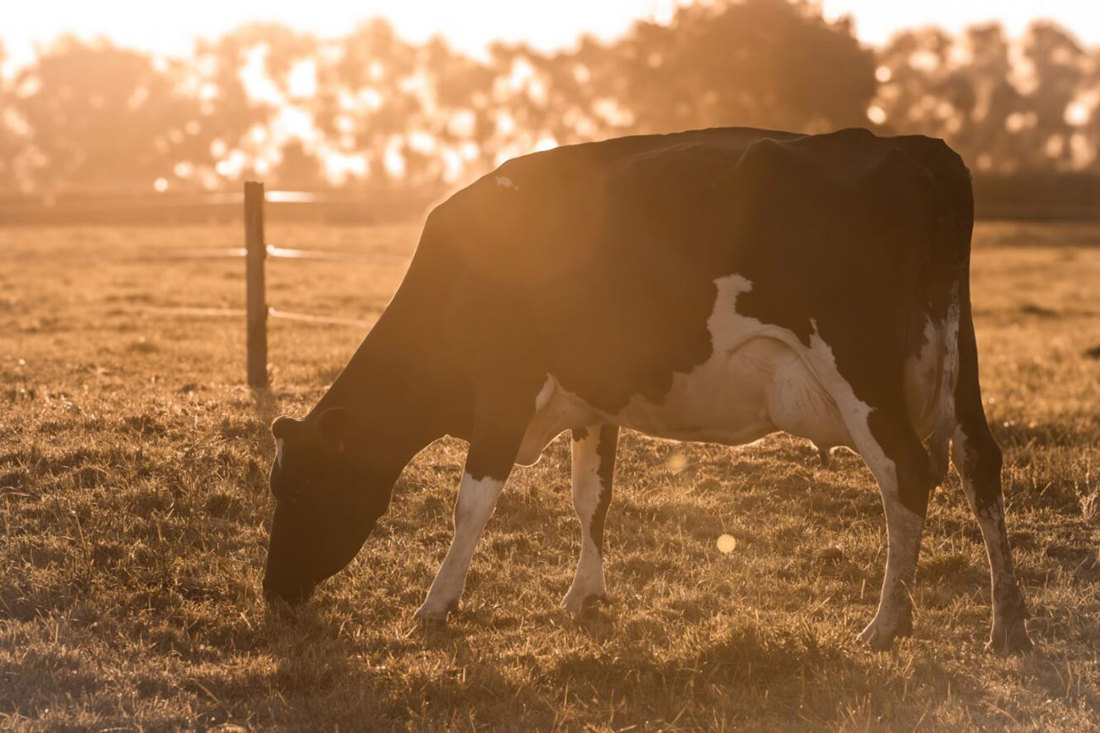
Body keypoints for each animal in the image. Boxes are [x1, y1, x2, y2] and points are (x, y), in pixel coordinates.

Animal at [262, 126, 1032, 653]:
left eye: (298, 488)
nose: (272, 593)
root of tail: (914, 147)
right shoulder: (592, 398)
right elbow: (591, 494)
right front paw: (585, 594)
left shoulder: (506, 387)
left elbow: (473, 501)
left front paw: (436, 603)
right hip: (959, 365)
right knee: (979, 463)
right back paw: (1008, 625)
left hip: (860, 368)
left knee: (906, 474)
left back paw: (886, 623)